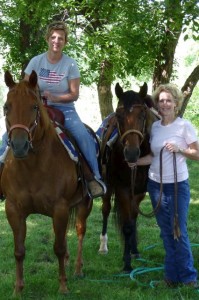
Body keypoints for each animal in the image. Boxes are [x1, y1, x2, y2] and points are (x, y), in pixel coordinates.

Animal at [1, 70, 92, 296]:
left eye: (34, 106)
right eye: (6, 107)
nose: (19, 145)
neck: (33, 166)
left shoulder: (59, 208)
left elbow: (58, 248)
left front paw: (63, 286)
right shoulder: (14, 209)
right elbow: (19, 251)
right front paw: (18, 289)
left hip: (84, 204)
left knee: (79, 232)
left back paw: (77, 268)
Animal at [98, 81, 157, 272]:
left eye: (142, 114)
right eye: (119, 115)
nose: (131, 153)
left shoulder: (139, 191)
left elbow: (133, 218)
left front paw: (134, 251)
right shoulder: (123, 189)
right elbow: (127, 226)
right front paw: (127, 263)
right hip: (108, 185)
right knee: (106, 209)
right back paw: (103, 246)